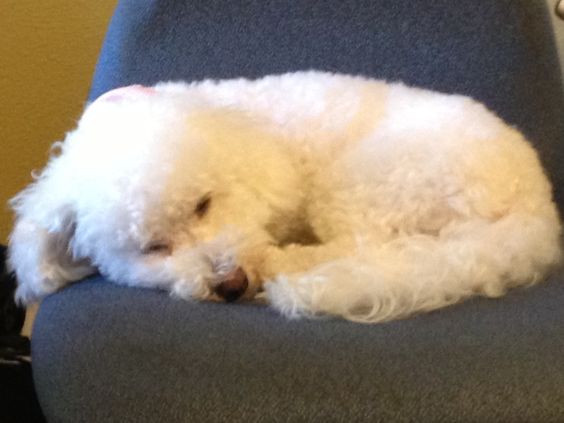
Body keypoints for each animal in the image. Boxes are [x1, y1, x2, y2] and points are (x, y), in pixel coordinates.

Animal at [6, 72, 560, 322]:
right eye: (154, 248)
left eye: (203, 204)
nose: (231, 283)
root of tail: (537, 205)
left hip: (368, 180)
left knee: (368, 247)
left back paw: (285, 263)